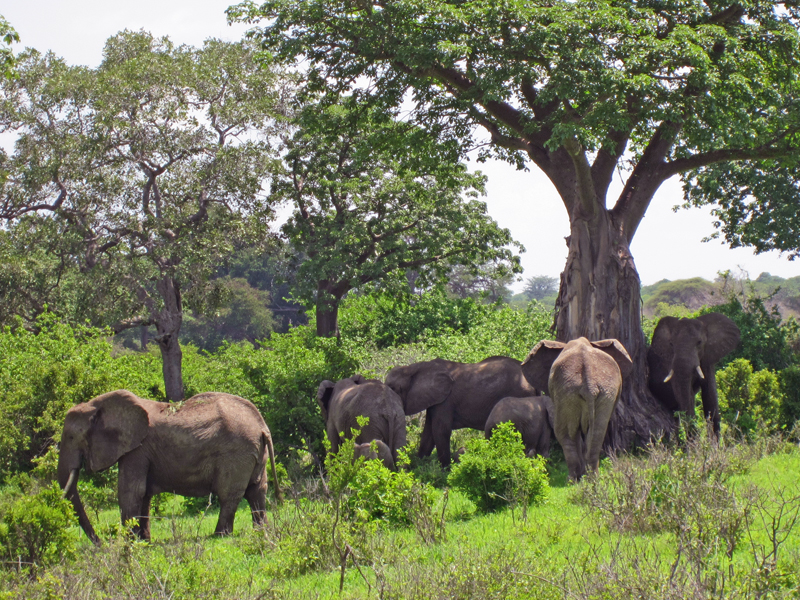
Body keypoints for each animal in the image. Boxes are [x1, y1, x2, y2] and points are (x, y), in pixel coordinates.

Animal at [58, 390, 281, 544]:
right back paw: (262, 531)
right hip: (253, 452)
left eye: (70, 437)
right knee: (256, 491)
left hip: (236, 453)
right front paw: (144, 541)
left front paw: (129, 543)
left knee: (229, 495)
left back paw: (219, 535)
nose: (100, 543)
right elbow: (144, 494)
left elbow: (131, 491)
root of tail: (262, 426)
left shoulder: (137, 450)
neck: (96, 406)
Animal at [385, 356, 536, 467]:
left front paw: (445, 470)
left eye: (392, 388)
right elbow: (428, 433)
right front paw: (419, 465)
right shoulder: (435, 400)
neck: (414, 368)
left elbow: (440, 430)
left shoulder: (446, 400)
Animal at [522, 338, 632, 481]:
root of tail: (590, 384)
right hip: (602, 392)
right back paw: (592, 478)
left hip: (569, 392)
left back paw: (573, 480)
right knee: (596, 432)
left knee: (565, 433)